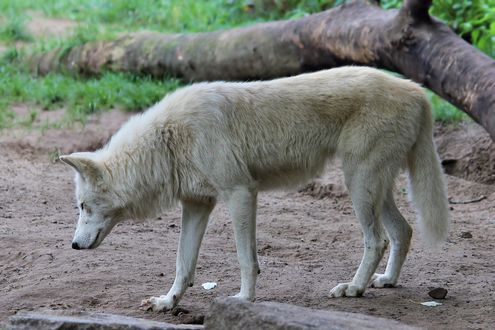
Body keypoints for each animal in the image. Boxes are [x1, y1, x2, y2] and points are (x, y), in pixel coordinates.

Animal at [61, 65, 450, 310]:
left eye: (81, 206)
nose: (74, 245)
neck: (167, 141)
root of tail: (417, 91)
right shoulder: (197, 204)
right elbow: (183, 264)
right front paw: (167, 302)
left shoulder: (241, 193)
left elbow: (246, 259)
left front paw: (243, 300)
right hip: (373, 188)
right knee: (403, 230)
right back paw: (386, 281)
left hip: (359, 184)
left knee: (378, 239)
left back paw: (354, 288)